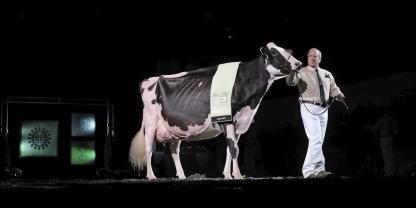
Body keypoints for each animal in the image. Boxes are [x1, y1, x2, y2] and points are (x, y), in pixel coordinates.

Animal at [128, 42, 300, 179]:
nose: (298, 63)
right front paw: (237, 175)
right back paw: (151, 176)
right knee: (149, 148)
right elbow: (234, 149)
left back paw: (182, 176)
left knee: (174, 150)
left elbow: (231, 149)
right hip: (150, 122)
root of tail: (149, 80)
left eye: (287, 50)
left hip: (174, 128)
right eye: (275, 53)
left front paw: (228, 175)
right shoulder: (228, 119)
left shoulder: (239, 123)